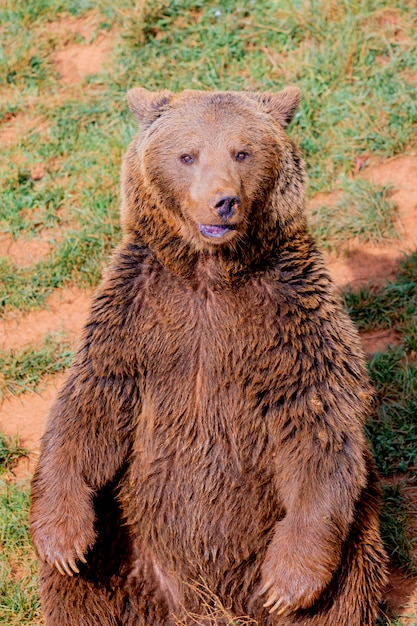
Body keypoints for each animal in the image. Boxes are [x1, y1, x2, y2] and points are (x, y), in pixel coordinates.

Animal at [29, 88, 386, 624]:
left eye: (242, 152)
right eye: (187, 155)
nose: (223, 201)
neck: (209, 272)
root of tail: (207, 603)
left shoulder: (291, 317)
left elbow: (317, 417)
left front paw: (289, 582)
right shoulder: (138, 316)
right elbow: (93, 404)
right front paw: (62, 540)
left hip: (347, 534)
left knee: (346, 584)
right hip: (127, 541)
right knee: (80, 589)